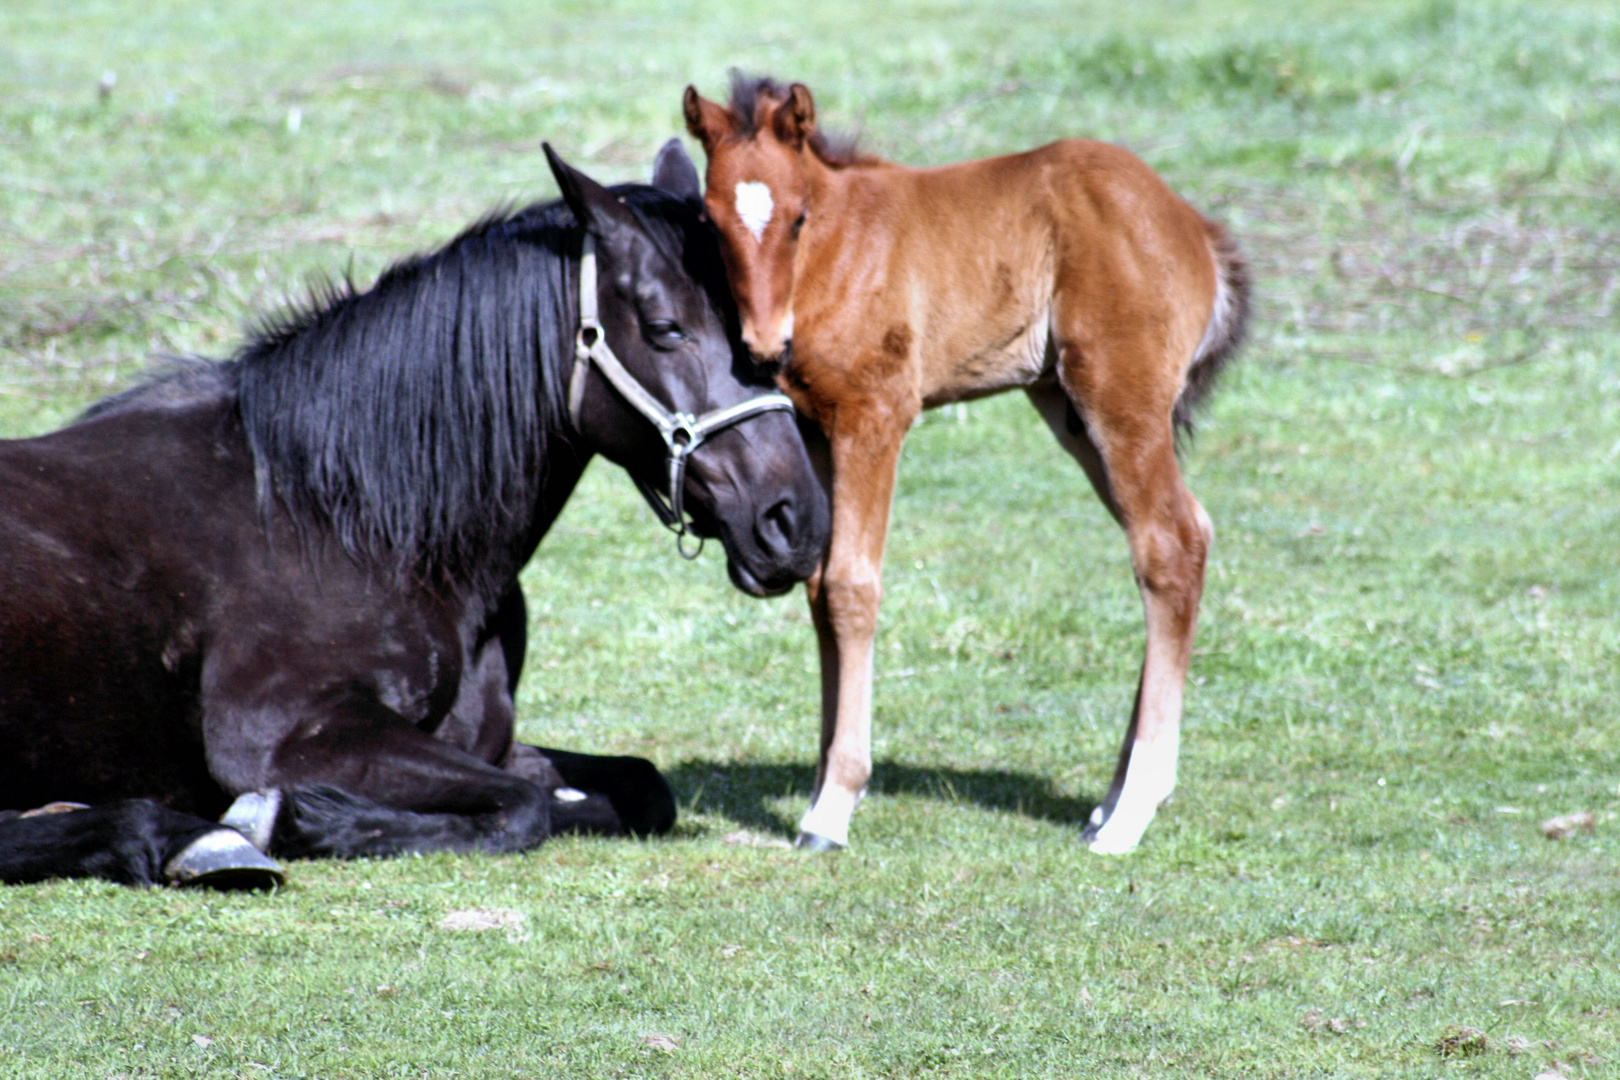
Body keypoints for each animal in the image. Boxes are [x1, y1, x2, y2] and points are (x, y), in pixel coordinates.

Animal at [0, 141, 829, 887]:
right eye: (665, 328)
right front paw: (313, 821)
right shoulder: (280, 736)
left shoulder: (485, 738)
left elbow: (638, 785)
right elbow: (523, 808)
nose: (797, 523)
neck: (347, 518)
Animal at [683, 74, 1250, 854]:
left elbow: (852, 588)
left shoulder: (877, 416)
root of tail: (1194, 227)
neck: (839, 253)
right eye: (710, 221)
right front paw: (822, 786)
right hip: (1071, 410)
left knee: (1166, 545)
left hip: (1119, 398)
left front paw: (834, 807)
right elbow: (819, 587)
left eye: (798, 218)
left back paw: (1132, 810)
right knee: (1190, 531)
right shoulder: (819, 429)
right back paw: (1109, 801)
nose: (764, 347)